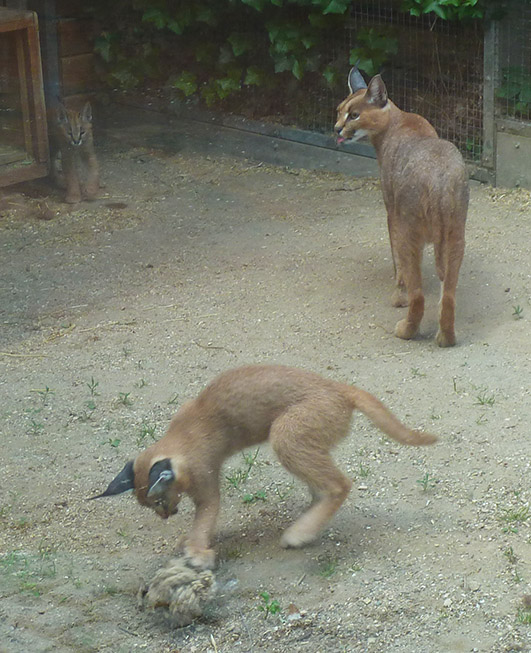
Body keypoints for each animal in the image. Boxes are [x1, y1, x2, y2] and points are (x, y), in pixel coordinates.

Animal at [91, 364, 438, 568]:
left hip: (285, 433)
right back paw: (308, 524)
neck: (178, 437)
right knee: (322, 487)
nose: (167, 515)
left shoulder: (206, 481)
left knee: (339, 484)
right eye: (153, 507)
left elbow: (205, 516)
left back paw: (299, 534)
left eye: (160, 501)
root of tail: (338, 387)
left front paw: (197, 550)